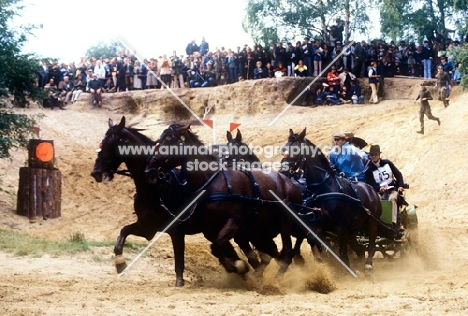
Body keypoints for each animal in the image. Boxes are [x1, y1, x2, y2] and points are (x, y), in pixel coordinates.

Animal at [144, 123, 302, 276]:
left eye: (168, 143)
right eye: (157, 143)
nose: (149, 171)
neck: (214, 182)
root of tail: (290, 183)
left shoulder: (235, 224)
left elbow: (218, 247)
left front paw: (238, 267)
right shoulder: (213, 229)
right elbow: (218, 248)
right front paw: (236, 267)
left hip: (284, 221)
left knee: (286, 253)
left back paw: (277, 280)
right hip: (260, 229)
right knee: (273, 253)